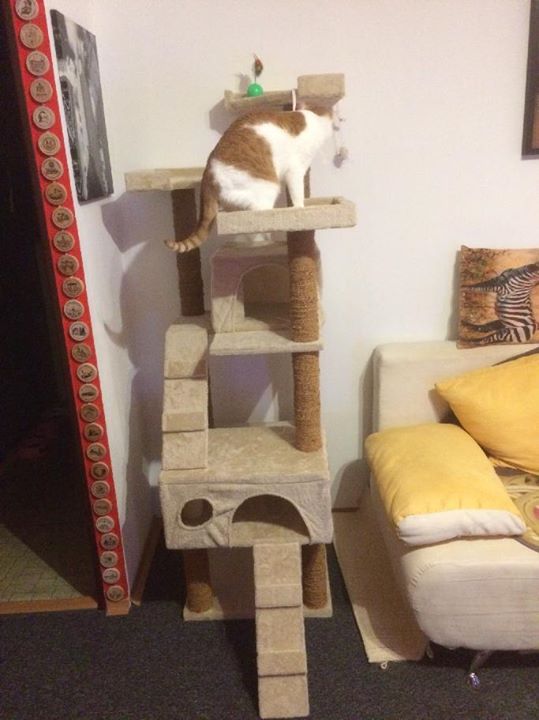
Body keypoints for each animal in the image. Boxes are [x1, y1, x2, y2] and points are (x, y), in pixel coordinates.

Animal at [166, 106, 333, 253]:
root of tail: (207, 177)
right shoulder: (294, 170)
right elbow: (297, 194)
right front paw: (299, 208)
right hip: (268, 189)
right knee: (258, 212)